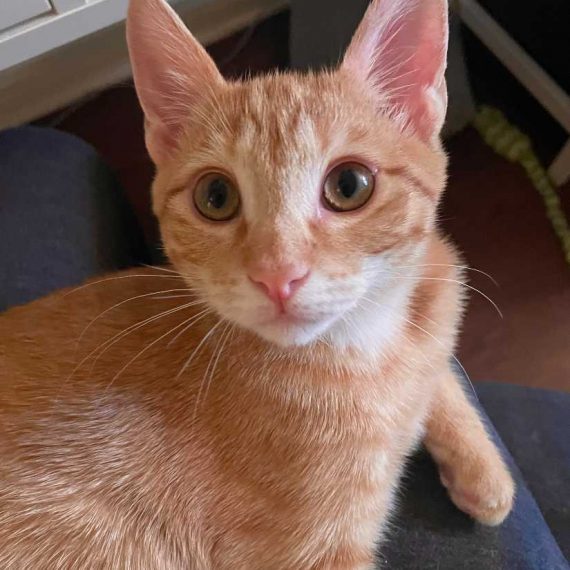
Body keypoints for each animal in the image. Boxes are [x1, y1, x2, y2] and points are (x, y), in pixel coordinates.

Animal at [0, 0, 515, 568]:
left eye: (349, 185)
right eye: (216, 196)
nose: (277, 275)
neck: (366, 349)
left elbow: (438, 367)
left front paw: (483, 468)